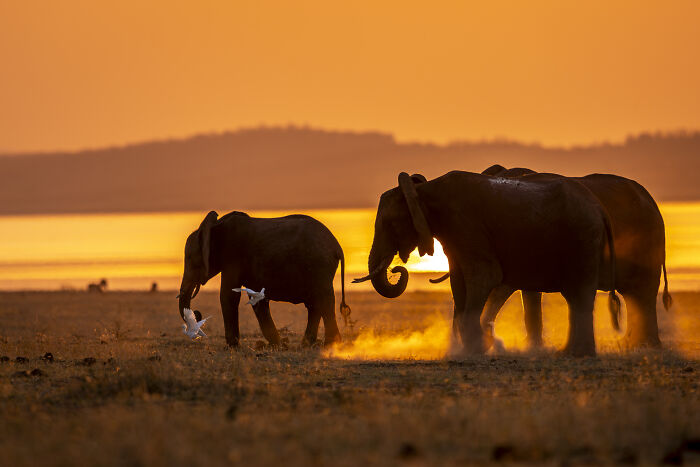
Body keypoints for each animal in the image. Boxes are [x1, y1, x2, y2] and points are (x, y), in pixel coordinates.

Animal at [178, 211, 351, 347]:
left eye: (190, 259)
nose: (197, 313)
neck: (215, 226)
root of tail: (337, 247)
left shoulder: (233, 257)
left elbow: (228, 295)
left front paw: (232, 346)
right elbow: (256, 299)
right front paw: (277, 345)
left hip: (319, 265)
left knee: (324, 300)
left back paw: (331, 344)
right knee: (315, 304)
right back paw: (307, 345)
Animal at [354, 171, 620, 357]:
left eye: (389, 224)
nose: (396, 269)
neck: (423, 191)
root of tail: (600, 208)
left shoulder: (466, 225)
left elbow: (484, 277)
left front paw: (475, 349)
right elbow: (459, 283)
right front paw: (467, 349)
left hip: (583, 238)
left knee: (579, 294)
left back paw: (578, 354)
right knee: (576, 297)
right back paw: (569, 353)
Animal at [433, 164, 671, 349]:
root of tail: (650, 199)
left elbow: (503, 287)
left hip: (645, 238)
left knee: (642, 291)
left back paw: (645, 346)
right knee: (637, 294)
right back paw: (637, 346)